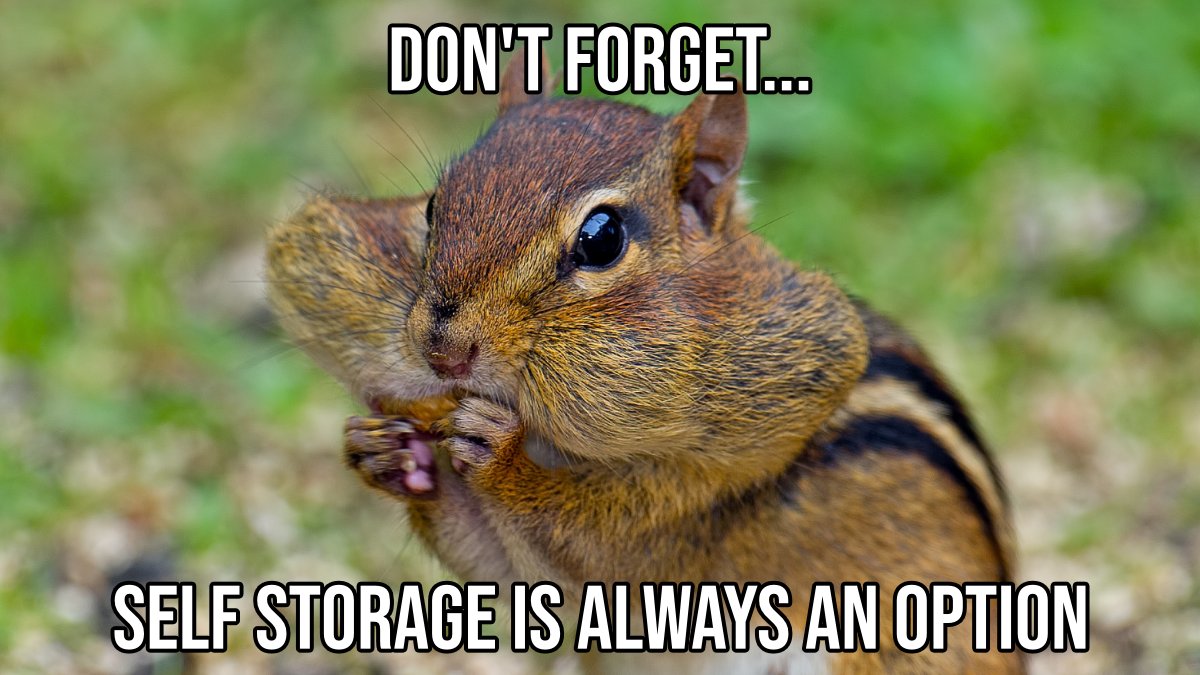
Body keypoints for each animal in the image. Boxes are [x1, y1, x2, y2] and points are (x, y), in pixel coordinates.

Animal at [266, 52, 1019, 674]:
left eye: (602, 239)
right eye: (432, 207)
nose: (443, 349)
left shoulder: (682, 526)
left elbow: (590, 534)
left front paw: (501, 461)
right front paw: (384, 452)